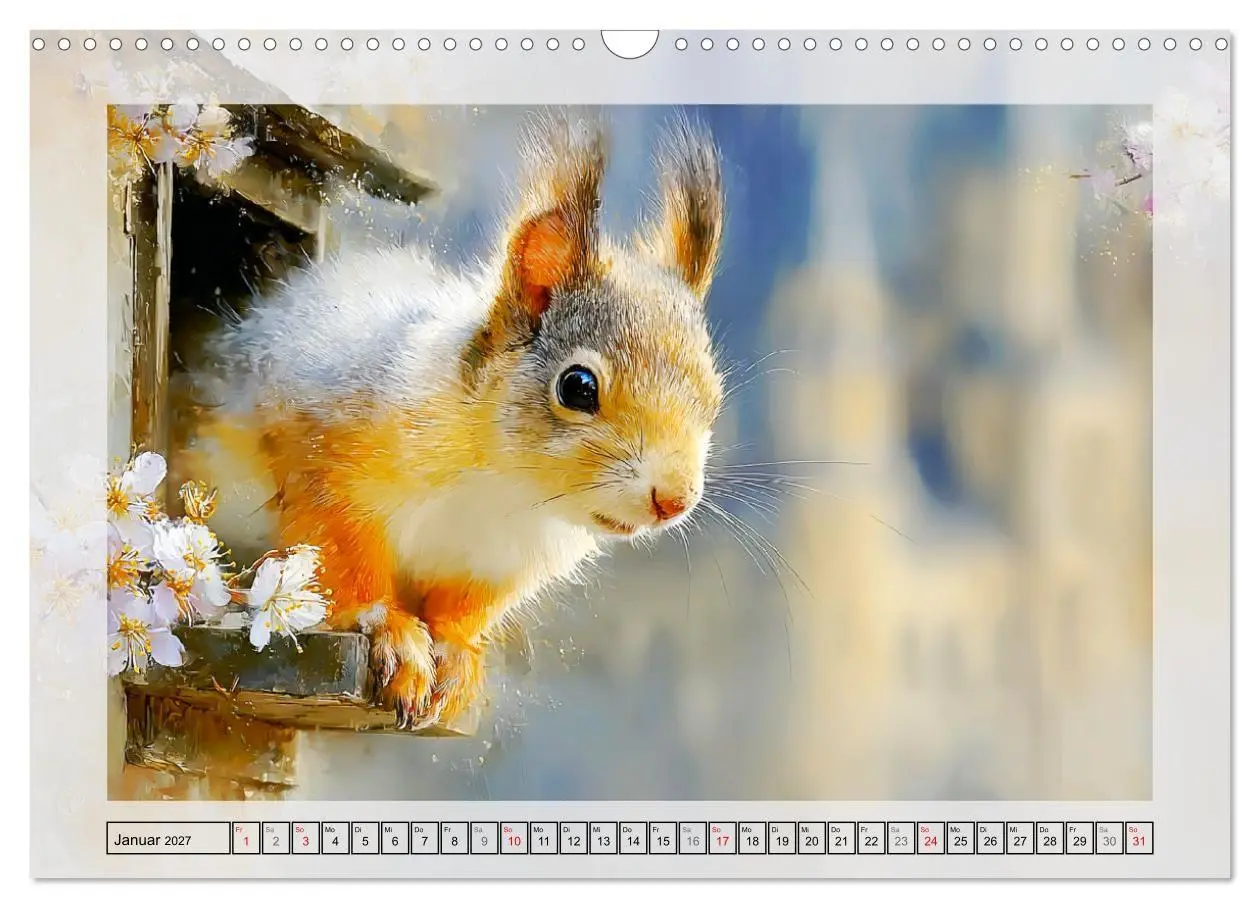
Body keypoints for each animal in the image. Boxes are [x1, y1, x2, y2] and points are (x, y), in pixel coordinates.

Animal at [174, 114, 726, 728]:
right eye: (577, 387)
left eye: (713, 398)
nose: (674, 500)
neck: (506, 485)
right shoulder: (327, 457)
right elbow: (340, 559)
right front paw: (389, 630)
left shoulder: (494, 566)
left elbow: (460, 612)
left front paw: (457, 654)